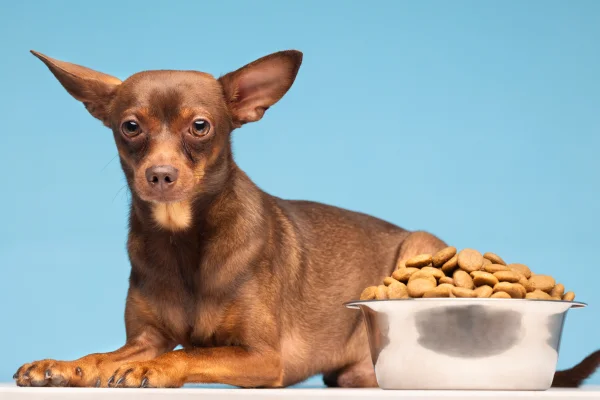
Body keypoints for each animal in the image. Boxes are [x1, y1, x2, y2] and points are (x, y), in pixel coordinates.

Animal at [12, 49, 596, 388]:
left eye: (201, 126)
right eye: (129, 126)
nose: (160, 175)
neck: (184, 241)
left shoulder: (262, 358)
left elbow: (184, 355)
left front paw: (149, 370)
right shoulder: (147, 334)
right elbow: (106, 351)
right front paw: (66, 365)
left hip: (419, 247)